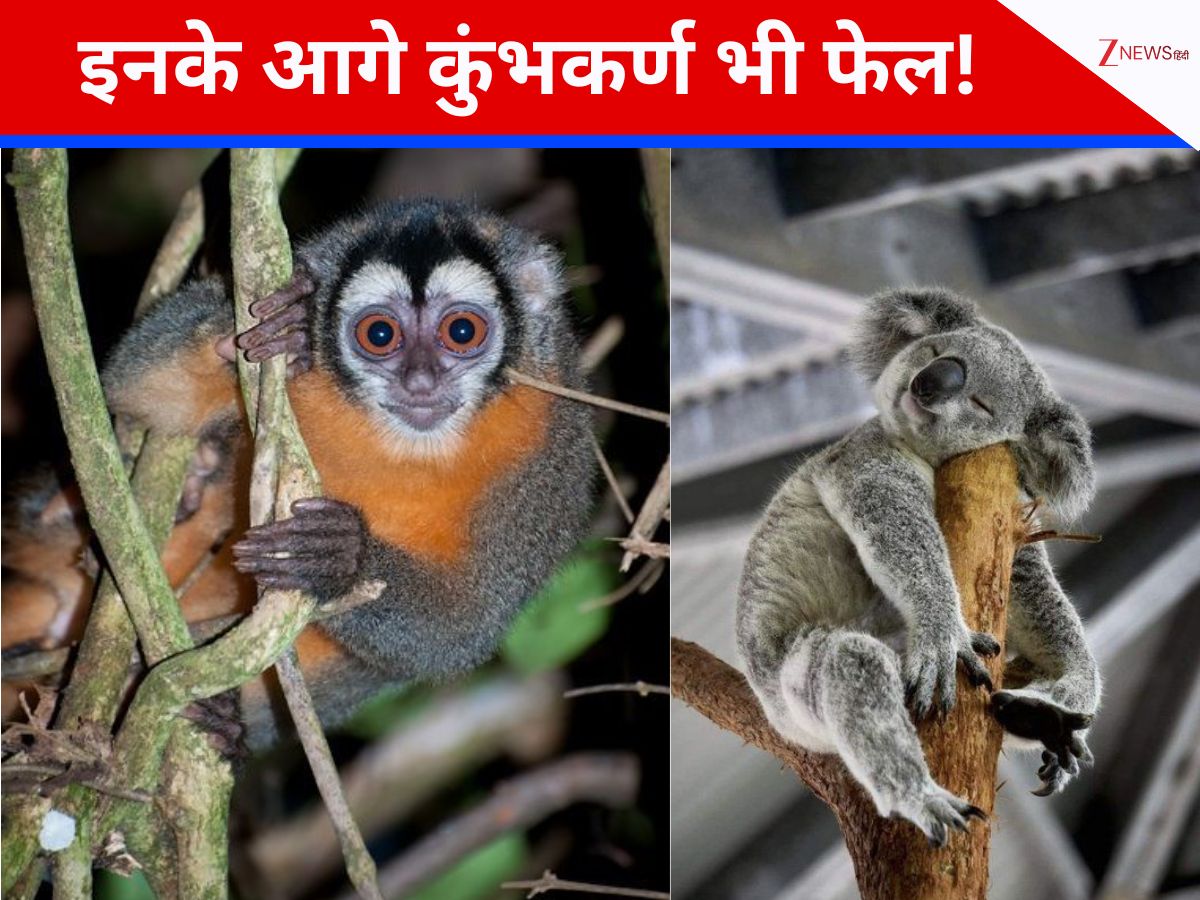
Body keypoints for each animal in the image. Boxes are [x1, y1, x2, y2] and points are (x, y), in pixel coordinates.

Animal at [2, 198, 597, 750]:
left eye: (462, 330)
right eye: (380, 335)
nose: (420, 381)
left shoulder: (556, 442)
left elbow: (462, 629)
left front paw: (336, 557)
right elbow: (126, 386)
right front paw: (280, 327)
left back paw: (223, 715)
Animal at [735, 288, 1100, 846]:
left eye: (981, 404)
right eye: (935, 352)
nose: (928, 384)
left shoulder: (1011, 519)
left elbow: (1032, 591)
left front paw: (1074, 688)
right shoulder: (866, 457)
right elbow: (897, 528)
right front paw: (946, 639)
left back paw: (1047, 725)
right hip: (791, 685)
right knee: (853, 667)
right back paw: (925, 799)